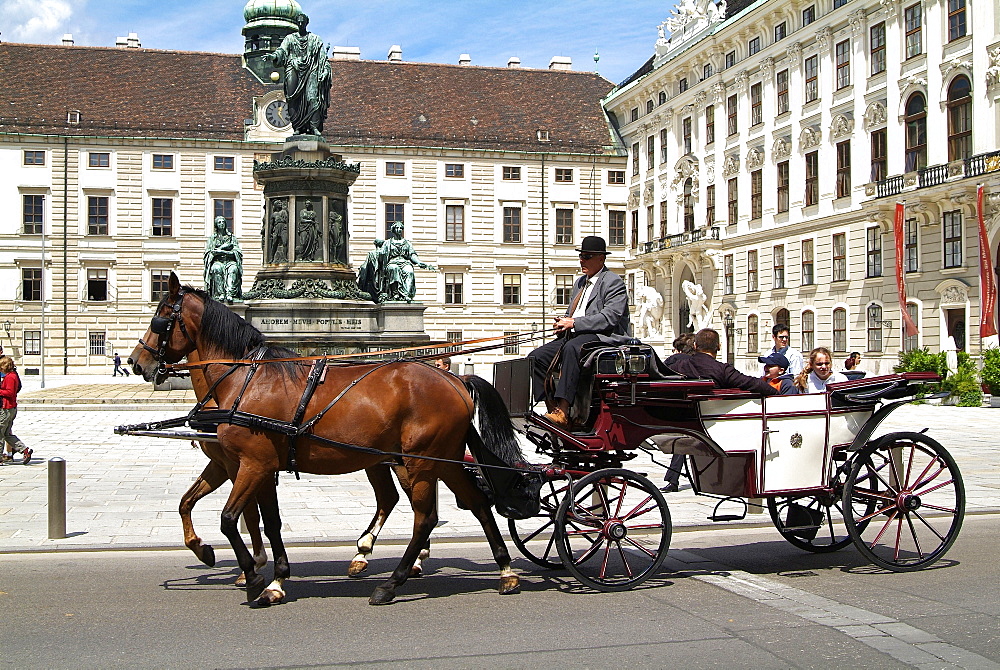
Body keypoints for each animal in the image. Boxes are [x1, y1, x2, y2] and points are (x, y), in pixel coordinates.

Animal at [131, 274, 524, 608]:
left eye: (161, 320)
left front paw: (253, 576)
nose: (136, 362)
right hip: (439, 460)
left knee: (424, 517)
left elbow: (230, 519)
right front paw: (273, 579)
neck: (246, 379)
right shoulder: (257, 467)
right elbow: (261, 520)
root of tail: (455, 380)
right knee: (475, 504)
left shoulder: (252, 464)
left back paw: (391, 582)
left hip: (421, 461)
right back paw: (505, 571)